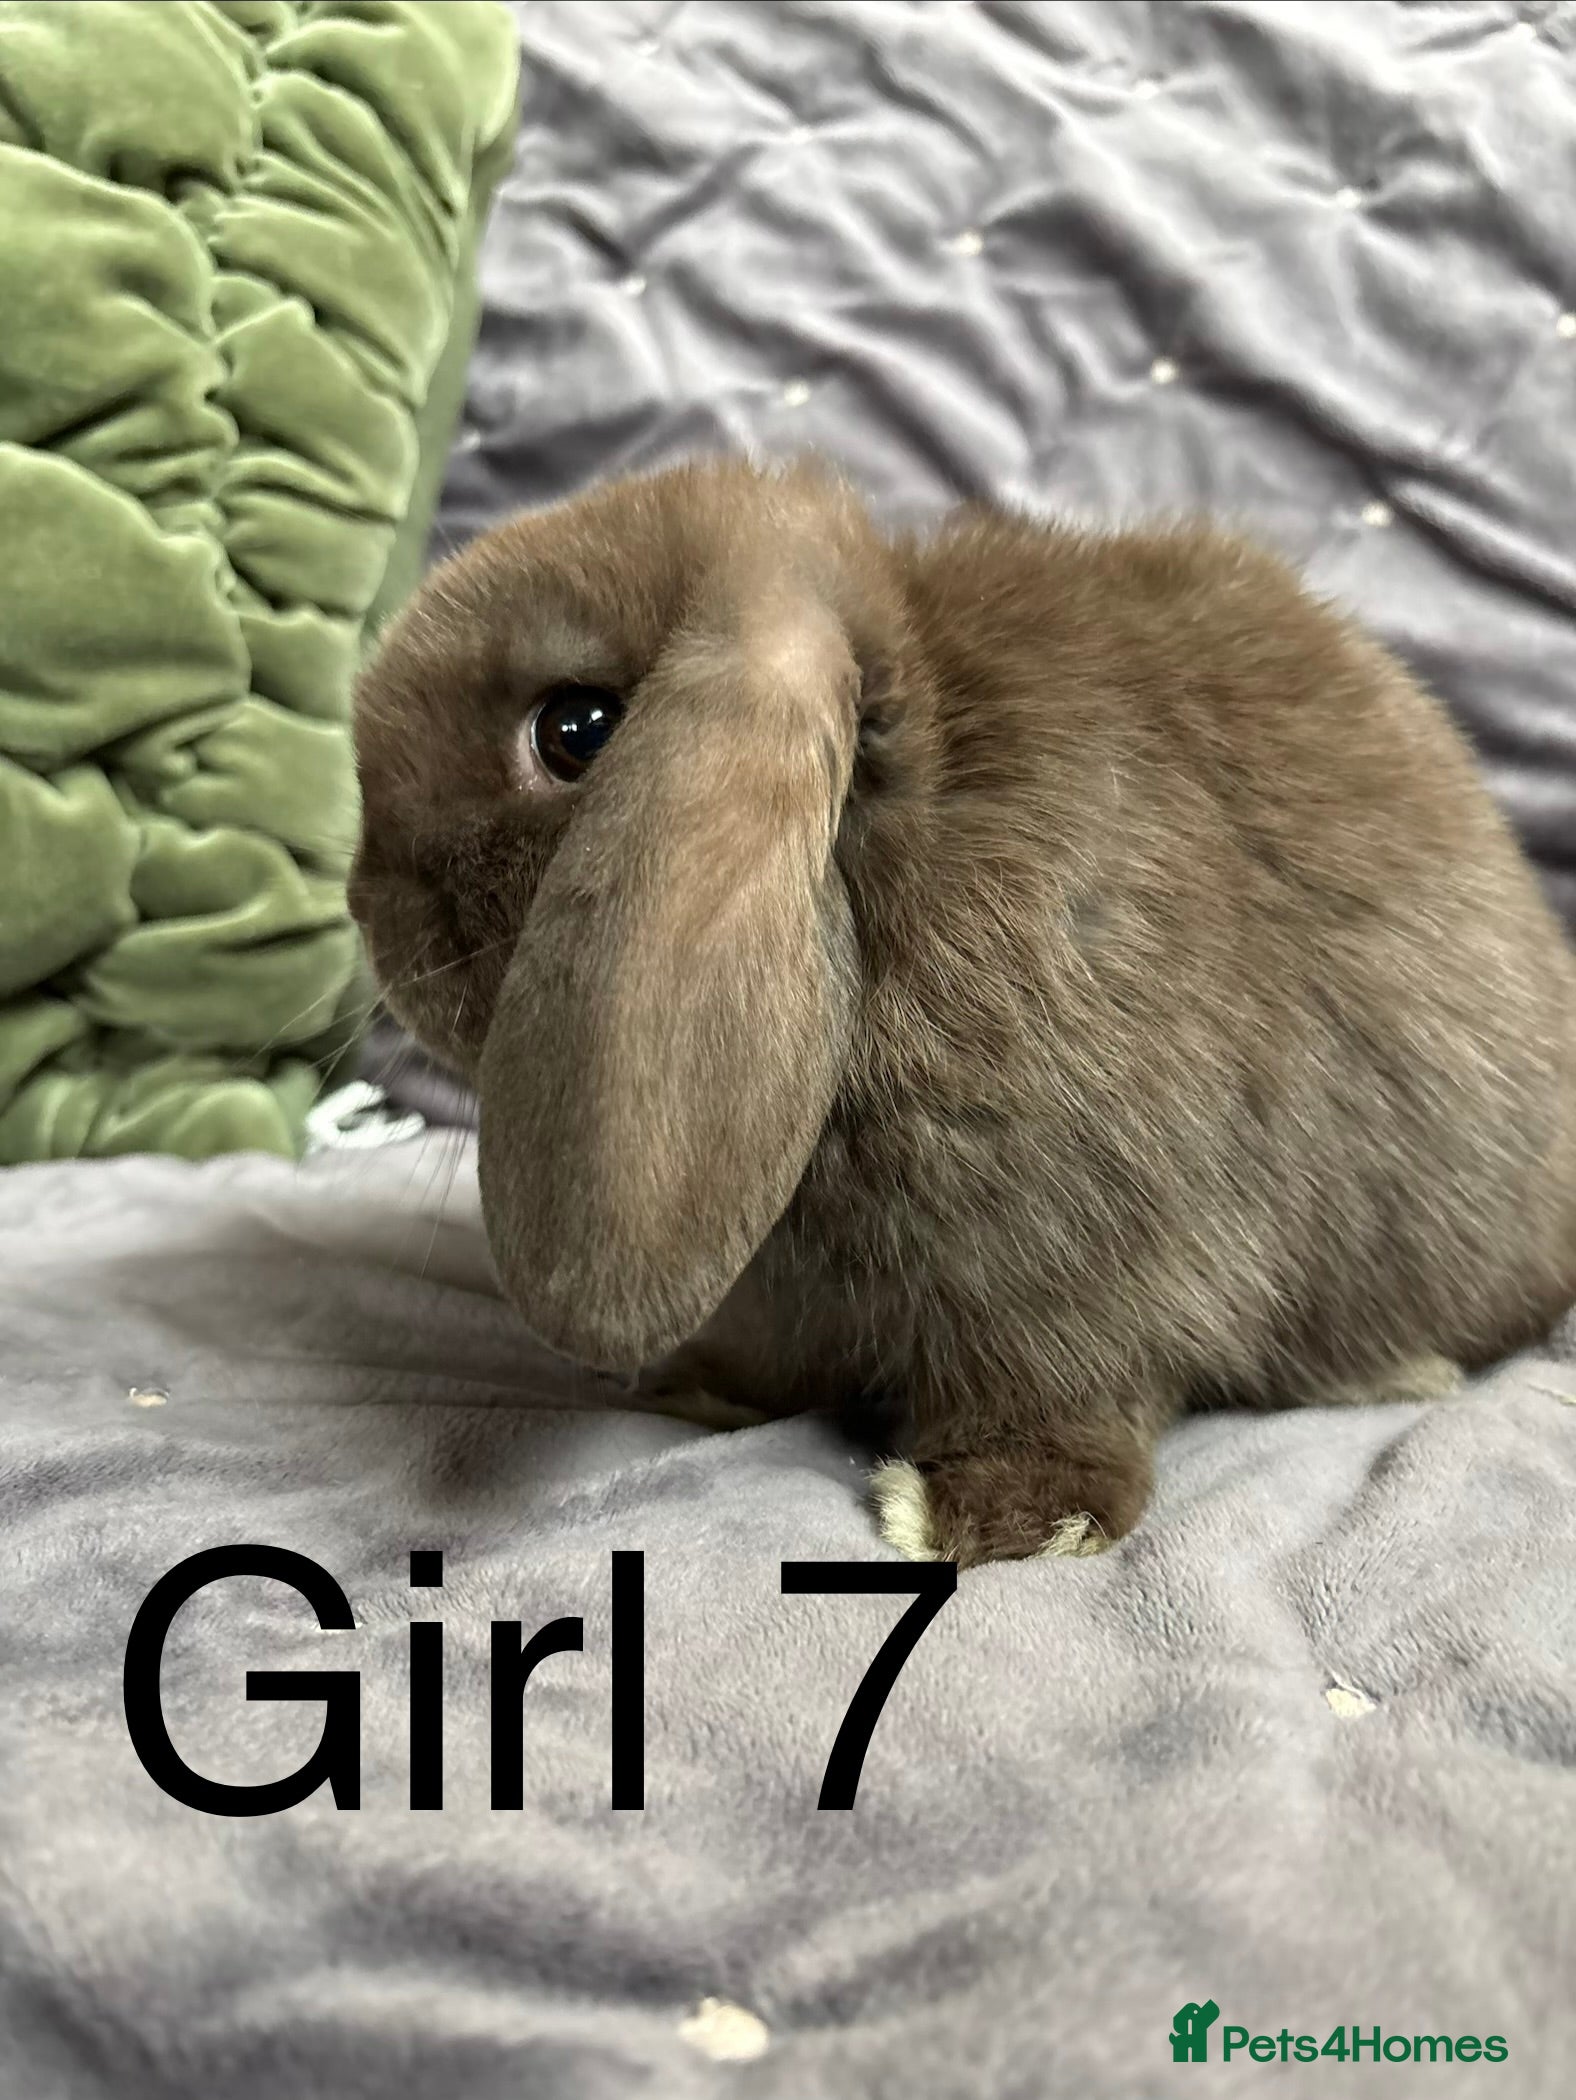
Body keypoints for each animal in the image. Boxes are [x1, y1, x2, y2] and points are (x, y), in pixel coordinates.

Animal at [349, 456, 1576, 1567]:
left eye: (579, 730)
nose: (368, 903)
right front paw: (705, 1387)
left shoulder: (1090, 1262)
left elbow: (1065, 1389)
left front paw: (984, 1517)